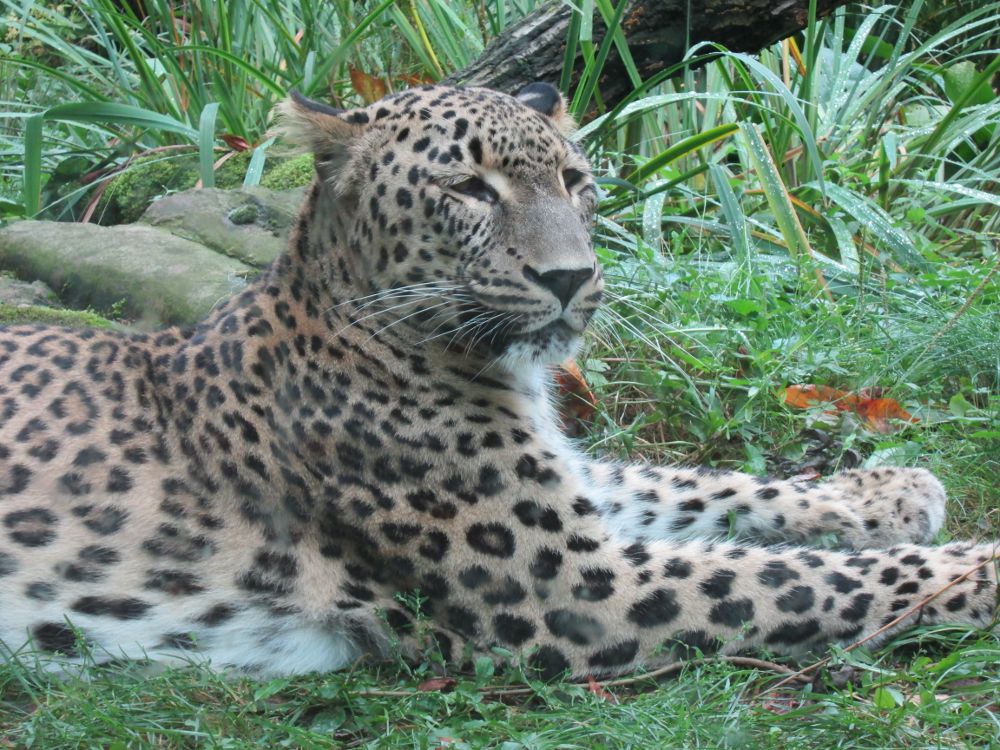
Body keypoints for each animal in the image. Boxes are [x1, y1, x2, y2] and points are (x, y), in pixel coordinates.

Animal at [0, 83, 996, 680]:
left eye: (575, 178)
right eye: (470, 189)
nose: (572, 278)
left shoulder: (576, 493)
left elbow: (707, 486)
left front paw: (886, 489)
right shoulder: (578, 587)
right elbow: (804, 577)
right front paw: (978, 566)